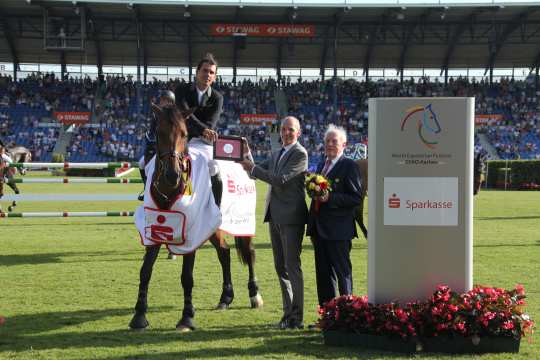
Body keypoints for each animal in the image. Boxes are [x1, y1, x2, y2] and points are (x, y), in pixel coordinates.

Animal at [132, 104, 262, 332]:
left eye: (184, 134)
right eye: (159, 133)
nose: (172, 175)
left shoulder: (191, 233)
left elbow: (187, 277)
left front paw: (186, 318)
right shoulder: (154, 229)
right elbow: (145, 271)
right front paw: (139, 316)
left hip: (240, 224)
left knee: (249, 253)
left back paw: (254, 295)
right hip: (212, 226)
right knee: (224, 252)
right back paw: (225, 298)